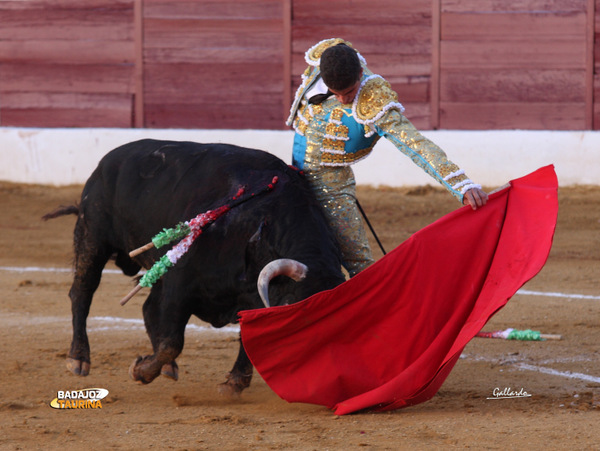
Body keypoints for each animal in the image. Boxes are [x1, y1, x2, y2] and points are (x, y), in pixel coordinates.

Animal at [45, 140, 346, 396]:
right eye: (292, 312)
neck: (258, 230)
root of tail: (105, 163)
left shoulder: (251, 299)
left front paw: (234, 382)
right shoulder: (180, 285)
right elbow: (172, 342)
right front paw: (141, 371)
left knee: (146, 308)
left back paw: (166, 368)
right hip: (92, 238)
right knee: (82, 293)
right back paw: (78, 359)